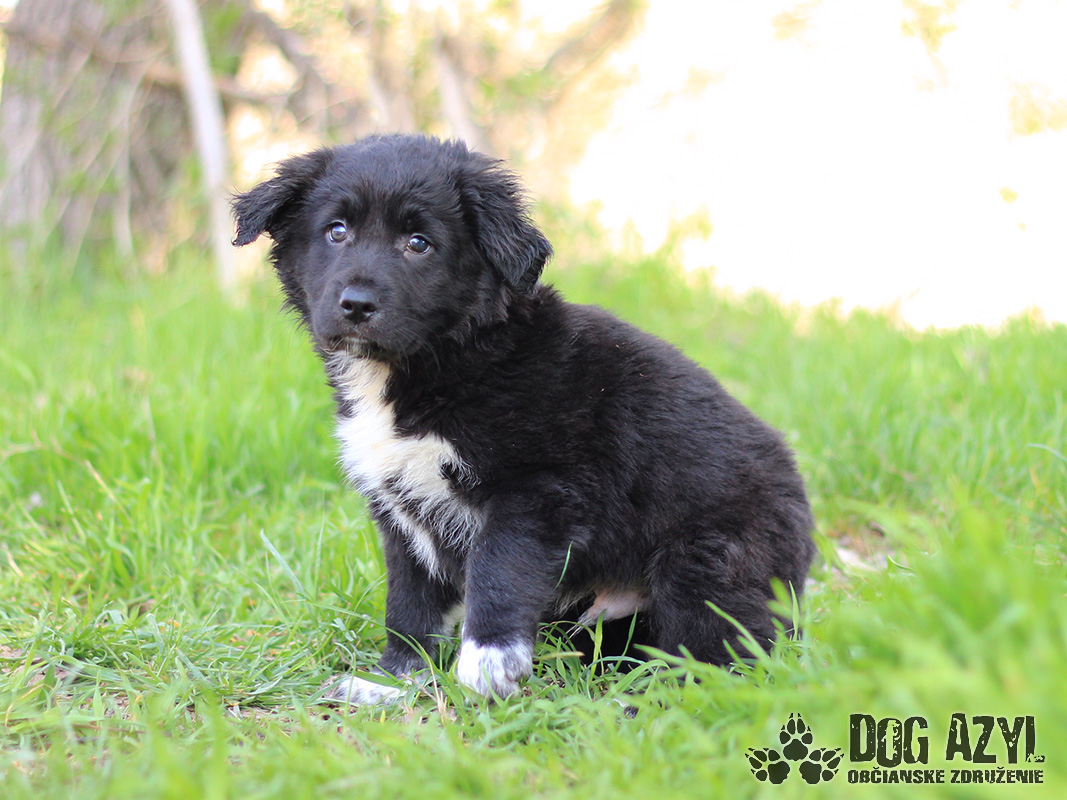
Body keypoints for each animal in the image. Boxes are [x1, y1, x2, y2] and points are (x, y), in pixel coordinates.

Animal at [232, 134, 815, 704]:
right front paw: (394, 680)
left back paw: (655, 703)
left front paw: (488, 661)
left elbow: (499, 571)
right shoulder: (401, 510)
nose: (355, 305)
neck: (444, 361)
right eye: (336, 231)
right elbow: (410, 603)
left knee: (720, 657)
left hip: (709, 561)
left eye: (418, 243)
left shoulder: (537, 492)